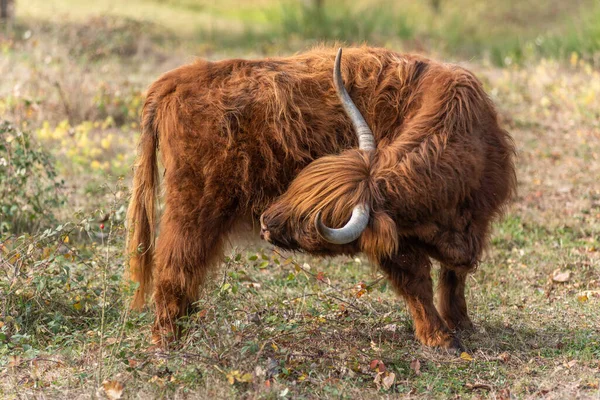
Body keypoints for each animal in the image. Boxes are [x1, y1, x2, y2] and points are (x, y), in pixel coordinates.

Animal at [126, 46, 516, 350]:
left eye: (308, 217)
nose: (266, 223)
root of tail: (177, 79)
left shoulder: (474, 222)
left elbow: (454, 277)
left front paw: (462, 324)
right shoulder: (396, 241)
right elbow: (417, 282)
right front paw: (441, 338)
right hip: (193, 206)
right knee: (175, 265)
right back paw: (168, 341)